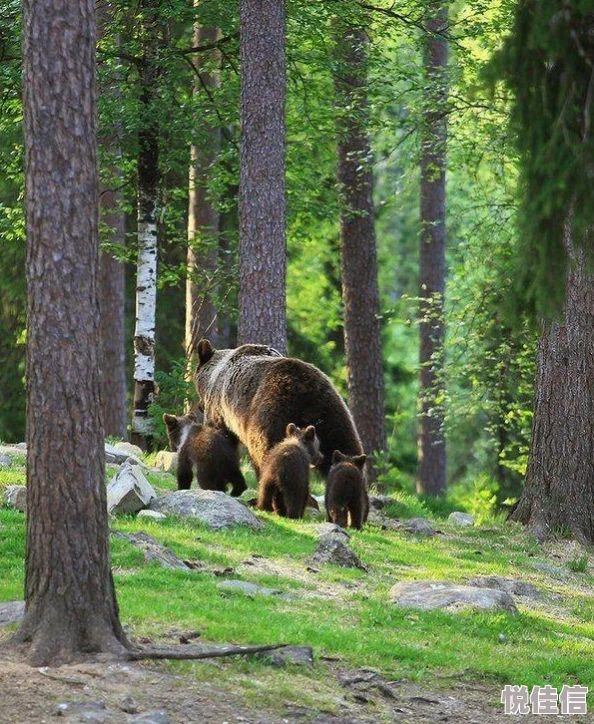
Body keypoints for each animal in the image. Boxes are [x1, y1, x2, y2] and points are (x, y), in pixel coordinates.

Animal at [194, 340, 360, 478]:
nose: (200, 406)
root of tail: (302, 388)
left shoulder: (219, 409)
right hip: (330, 410)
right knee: (344, 447)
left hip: (270, 413)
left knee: (265, 451)